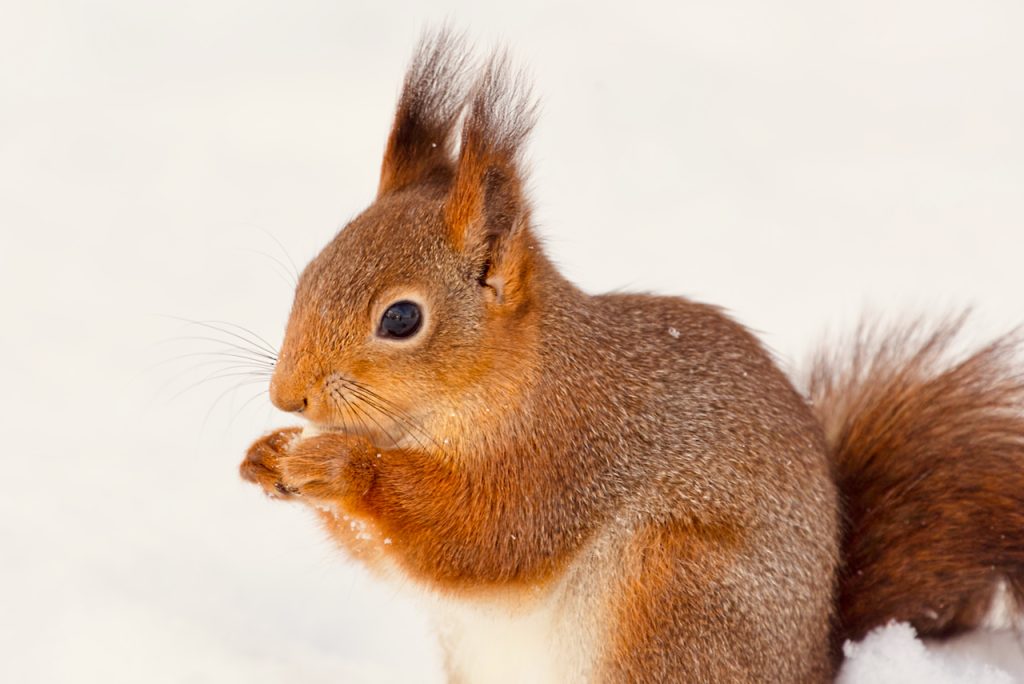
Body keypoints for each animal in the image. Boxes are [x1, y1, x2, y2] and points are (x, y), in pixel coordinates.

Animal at [239, 30, 1024, 679]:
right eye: (310, 272)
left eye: (401, 318)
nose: (287, 396)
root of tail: (811, 662)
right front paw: (270, 454)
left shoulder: (567, 453)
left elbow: (484, 535)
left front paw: (339, 465)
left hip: (674, 591)